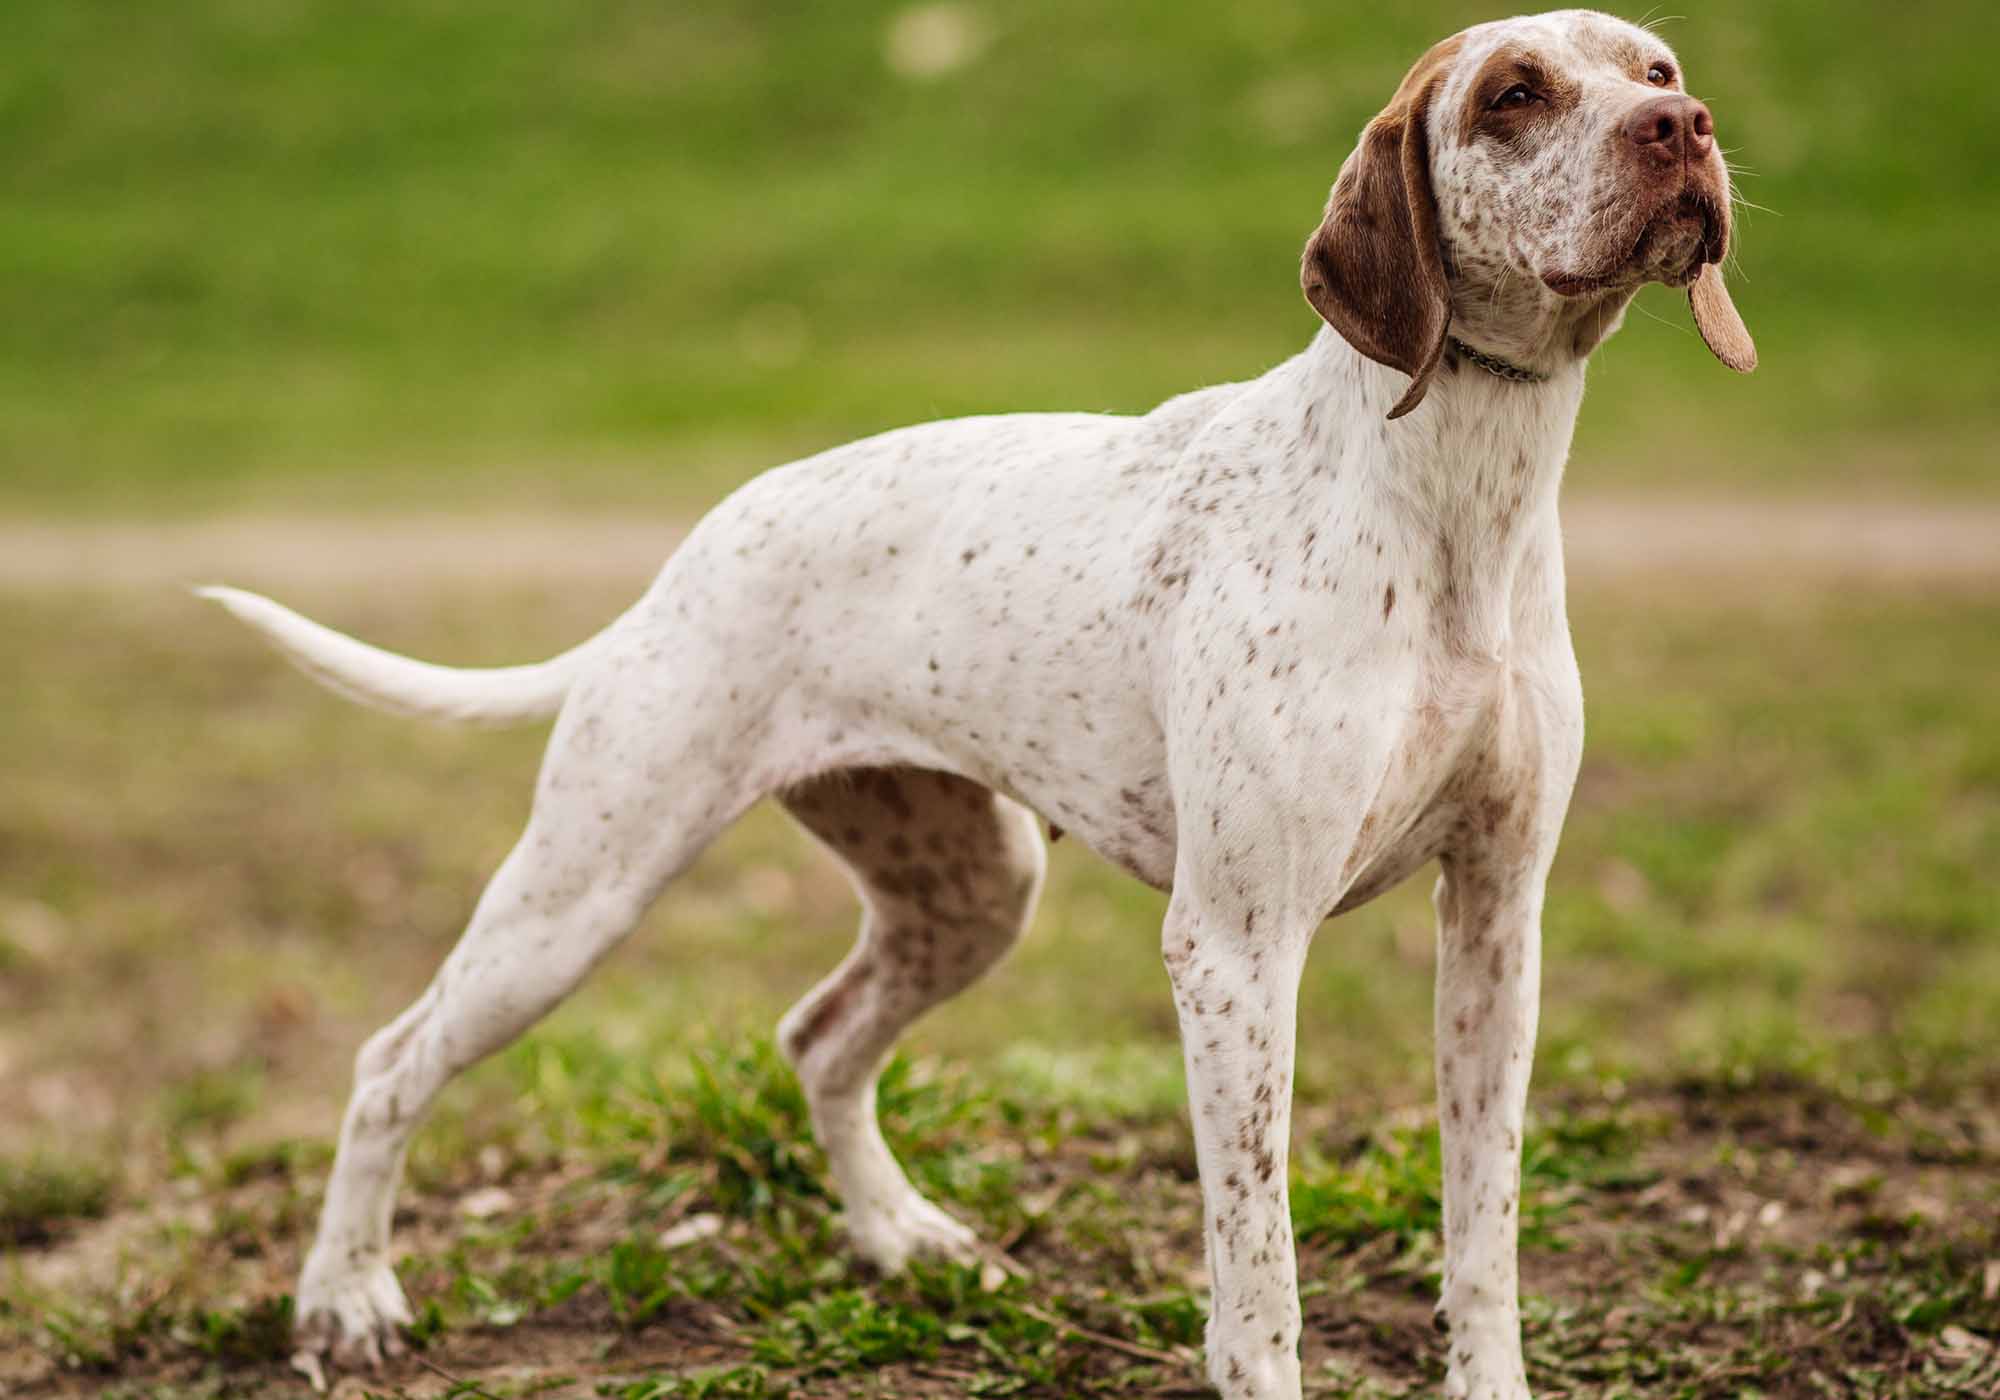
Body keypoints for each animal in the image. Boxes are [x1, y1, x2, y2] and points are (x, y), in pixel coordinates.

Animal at [203, 8, 1760, 1392]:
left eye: (1656, 70)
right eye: (1513, 93)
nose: (1685, 128)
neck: (1453, 507)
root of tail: (688, 557)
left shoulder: (1496, 922)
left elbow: (1481, 1238)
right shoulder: (1237, 950)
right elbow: (1259, 1283)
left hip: (967, 886)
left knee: (818, 1038)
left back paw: (898, 1234)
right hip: (578, 893)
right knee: (391, 1061)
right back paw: (345, 1300)